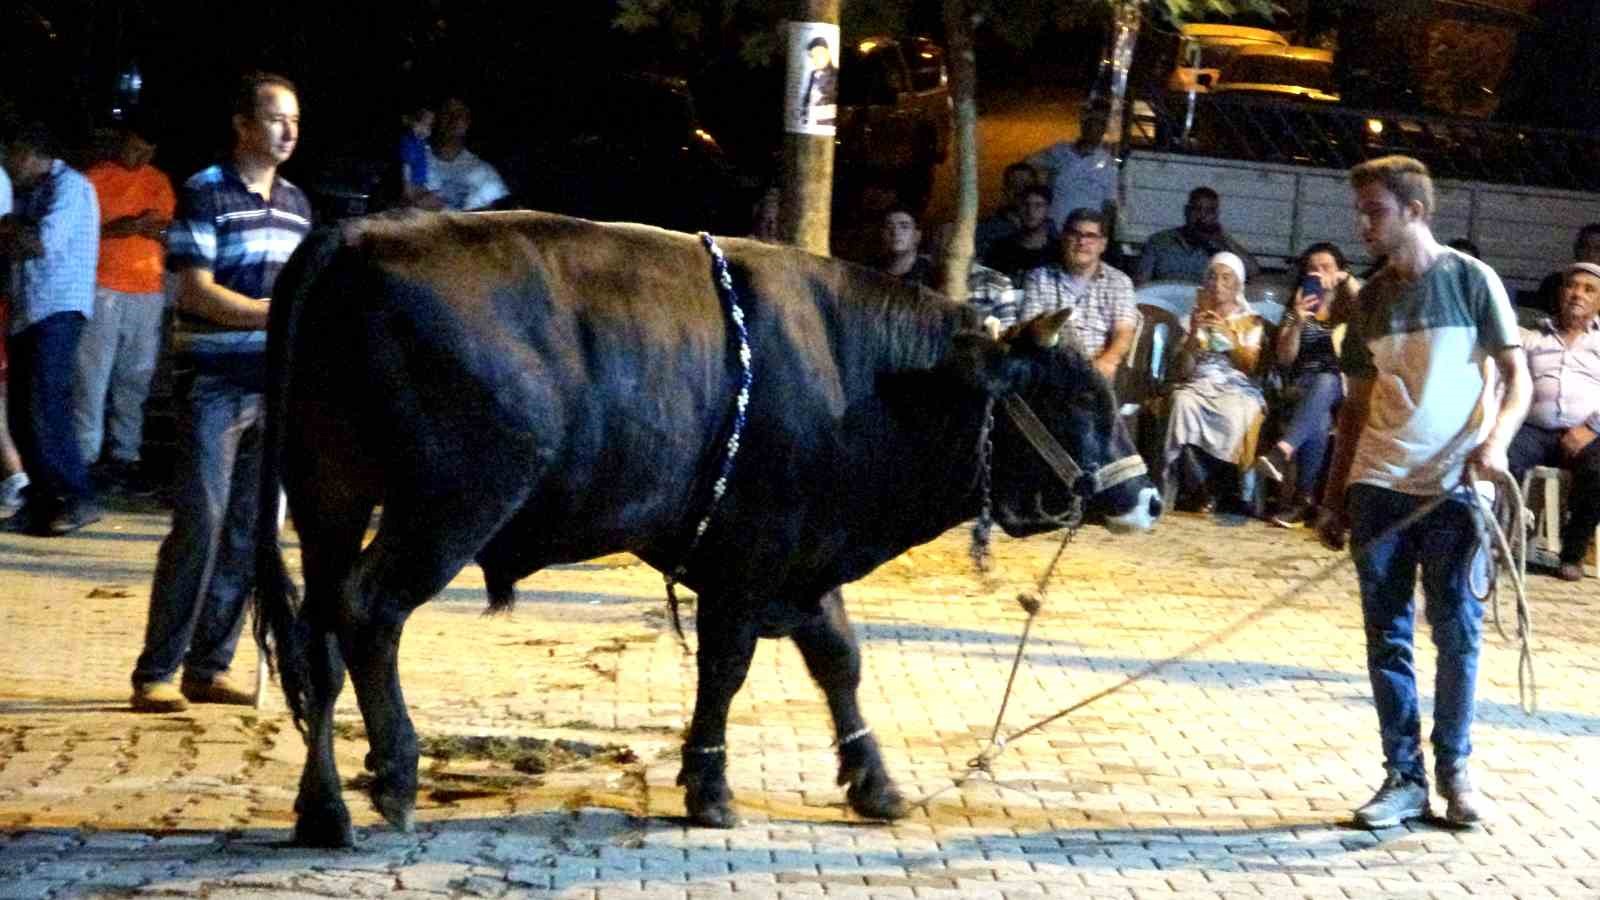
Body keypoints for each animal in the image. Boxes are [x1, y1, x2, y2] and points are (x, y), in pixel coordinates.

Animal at [256, 209, 1164, 839]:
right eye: (1076, 398)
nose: (1148, 498)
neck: (858, 372)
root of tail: (358, 232)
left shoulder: (804, 561)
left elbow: (839, 661)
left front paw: (874, 782)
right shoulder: (749, 561)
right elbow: (726, 672)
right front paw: (711, 790)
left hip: (330, 497)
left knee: (317, 637)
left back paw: (323, 810)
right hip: (447, 508)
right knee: (370, 611)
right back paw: (395, 774)